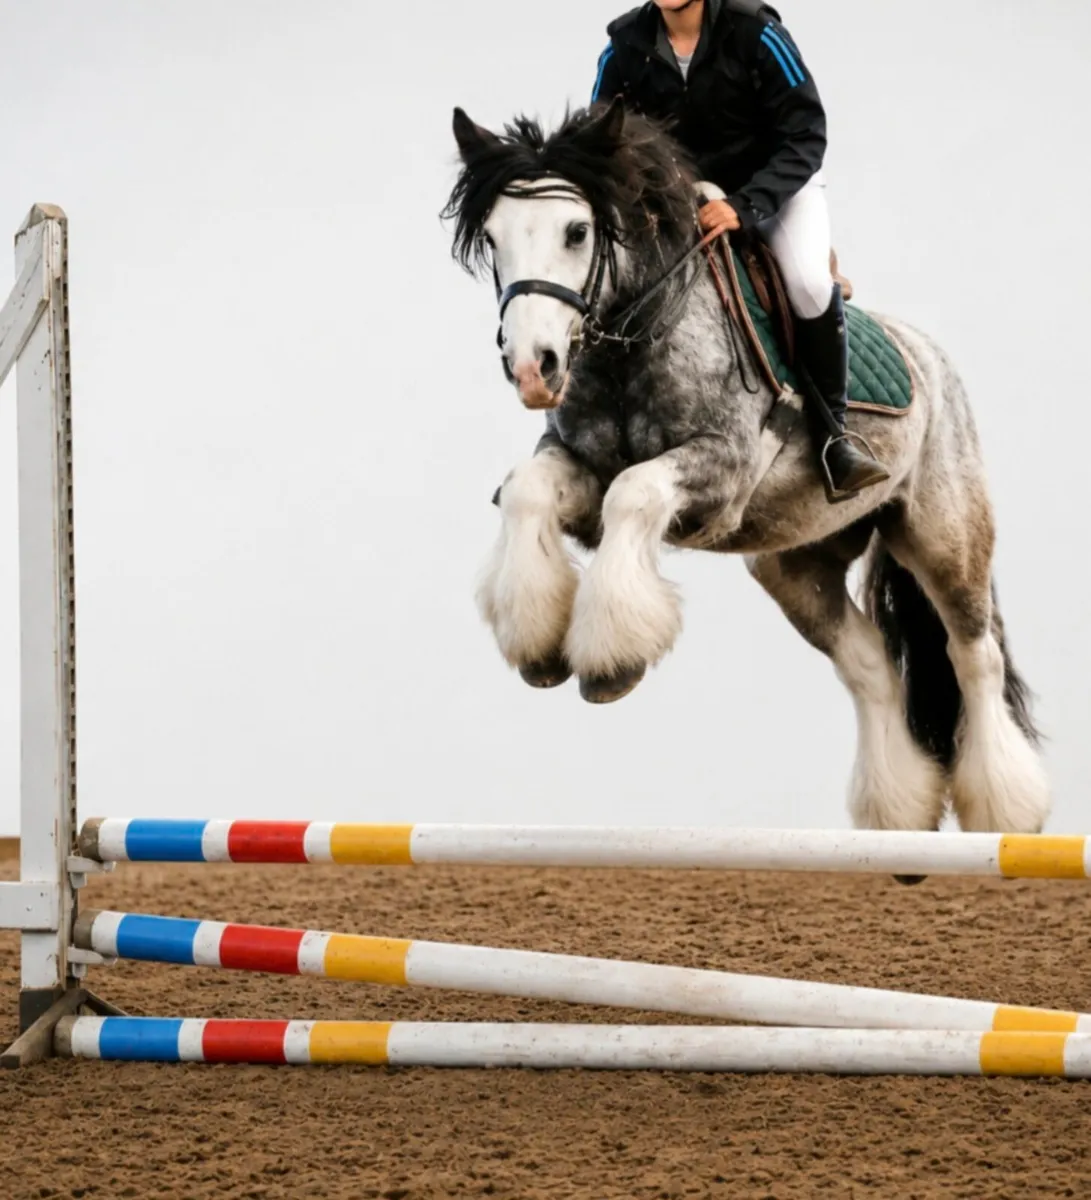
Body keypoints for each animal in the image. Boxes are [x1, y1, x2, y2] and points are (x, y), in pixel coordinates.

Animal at [441, 97, 1050, 846]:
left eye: (576, 231)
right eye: (493, 237)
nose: (533, 368)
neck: (633, 343)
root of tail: (927, 355)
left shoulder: (720, 473)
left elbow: (634, 494)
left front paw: (612, 655)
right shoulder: (576, 468)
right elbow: (532, 492)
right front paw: (537, 645)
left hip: (944, 536)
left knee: (974, 657)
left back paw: (1005, 811)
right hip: (795, 567)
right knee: (870, 667)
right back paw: (893, 816)